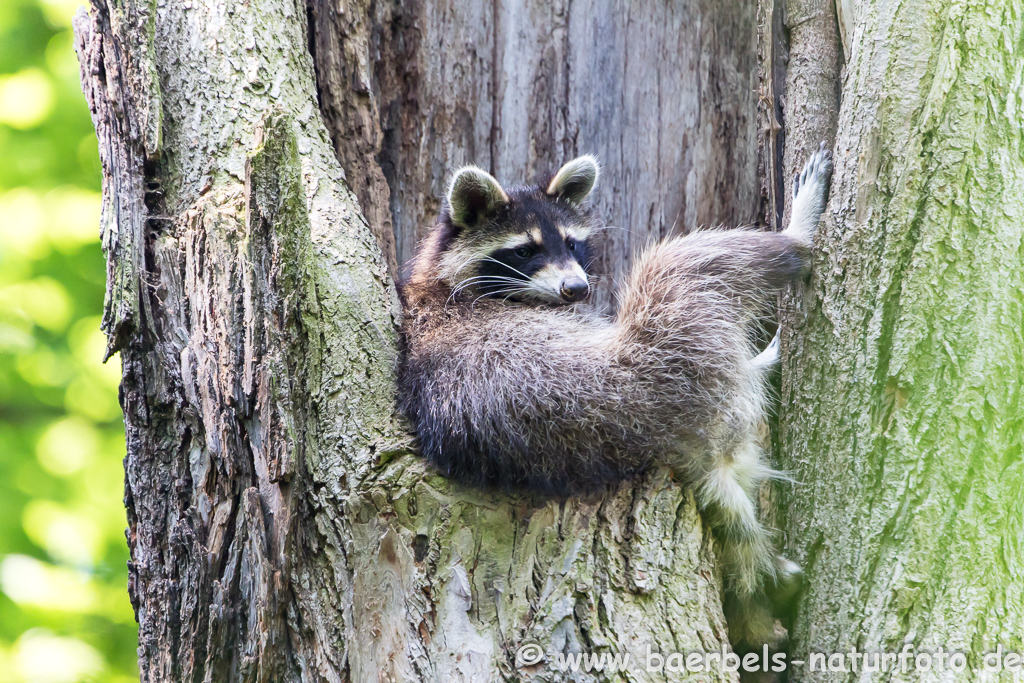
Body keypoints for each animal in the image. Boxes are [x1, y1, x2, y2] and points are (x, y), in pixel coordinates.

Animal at [397, 147, 831, 643]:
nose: (577, 288)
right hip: (662, 366)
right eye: (525, 250)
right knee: (684, 264)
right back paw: (794, 240)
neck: (440, 278)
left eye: (571, 244)